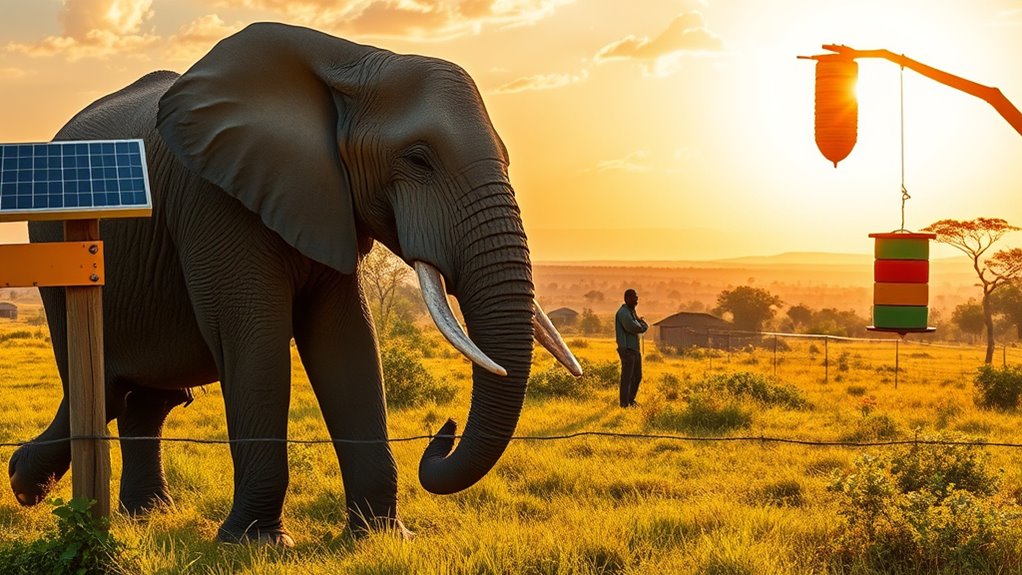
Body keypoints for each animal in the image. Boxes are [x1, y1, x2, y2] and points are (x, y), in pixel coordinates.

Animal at [8, 22, 580, 545]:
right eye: (419, 159)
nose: (443, 432)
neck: (354, 60)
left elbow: (347, 344)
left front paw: (381, 538)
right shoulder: (215, 199)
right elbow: (255, 344)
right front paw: (252, 544)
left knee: (142, 399)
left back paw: (135, 512)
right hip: (57, 243)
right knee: (103, 386)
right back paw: (33, 483)